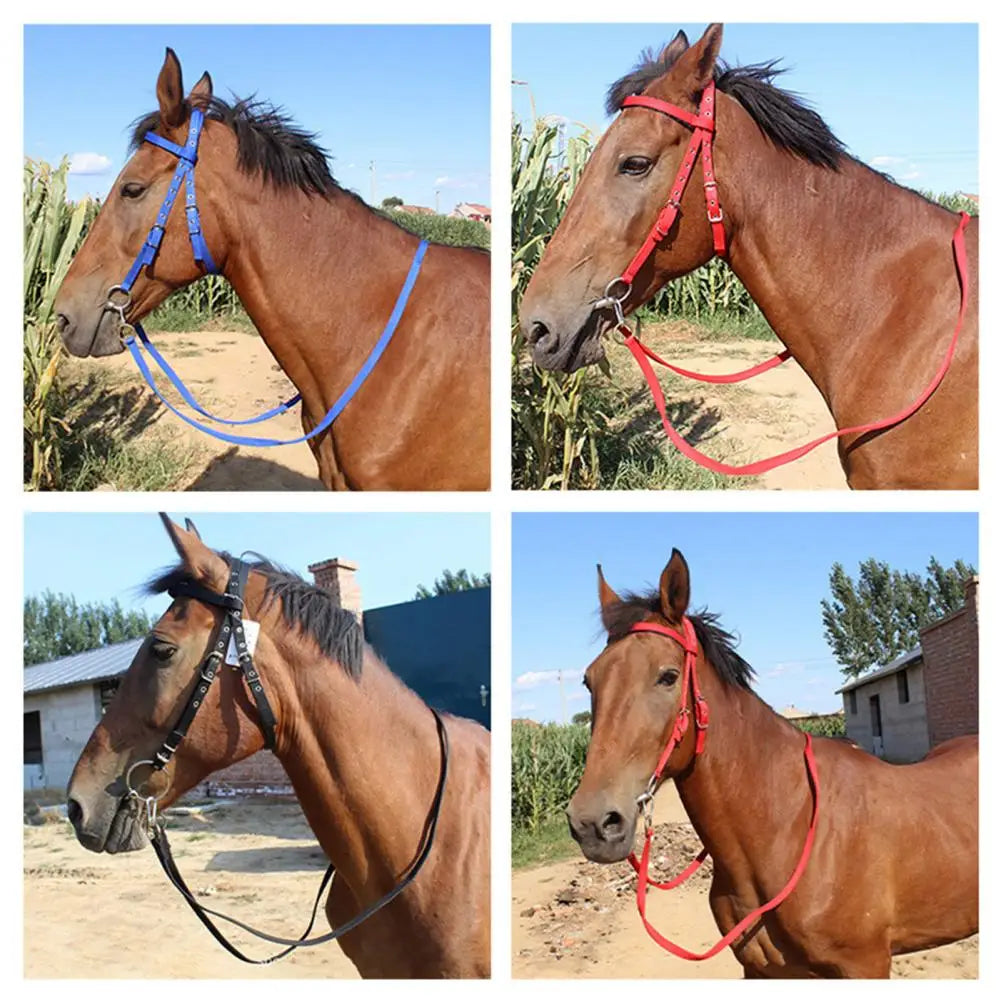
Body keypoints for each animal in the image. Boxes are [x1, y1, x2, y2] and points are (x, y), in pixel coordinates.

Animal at [567, 550, 978, 978]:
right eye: (589, 681)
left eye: (668, 676)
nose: (592, 823)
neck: (788, 830)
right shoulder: (760, 969)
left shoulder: (865, 965)